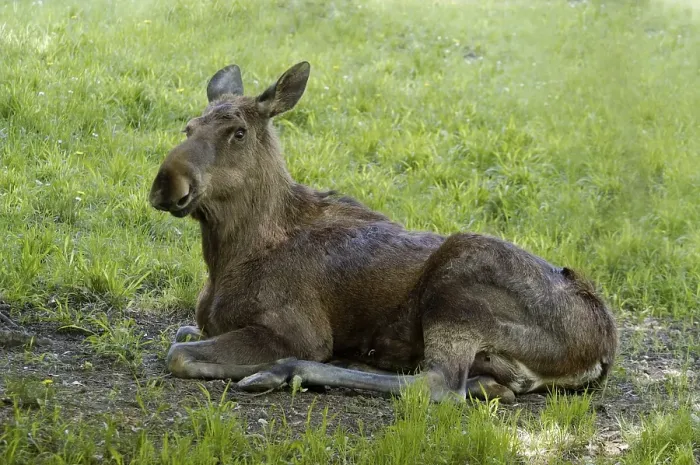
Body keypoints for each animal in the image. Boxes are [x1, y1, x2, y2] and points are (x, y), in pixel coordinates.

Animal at [148, 61, 618, 403]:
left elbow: (178, 353)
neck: (228, 258)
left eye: (239, 132)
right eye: (188, 127)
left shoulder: (298, 330)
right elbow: (182, 332)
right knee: (485, 385)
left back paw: (288, 371)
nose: (166, 184)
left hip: (458, 287)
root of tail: (602, 348)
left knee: (439, 384)